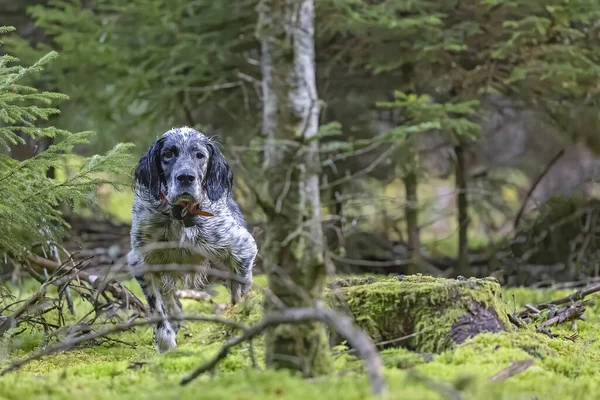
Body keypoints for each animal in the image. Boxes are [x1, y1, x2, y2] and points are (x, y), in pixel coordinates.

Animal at [127, 126, 256, 354]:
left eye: (200, 155)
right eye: (168, 154)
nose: (185, 178)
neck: (182, 215)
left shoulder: (243, 249)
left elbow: (239, 296)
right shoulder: (141, 262)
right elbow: (158, 312)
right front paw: (166, 347)